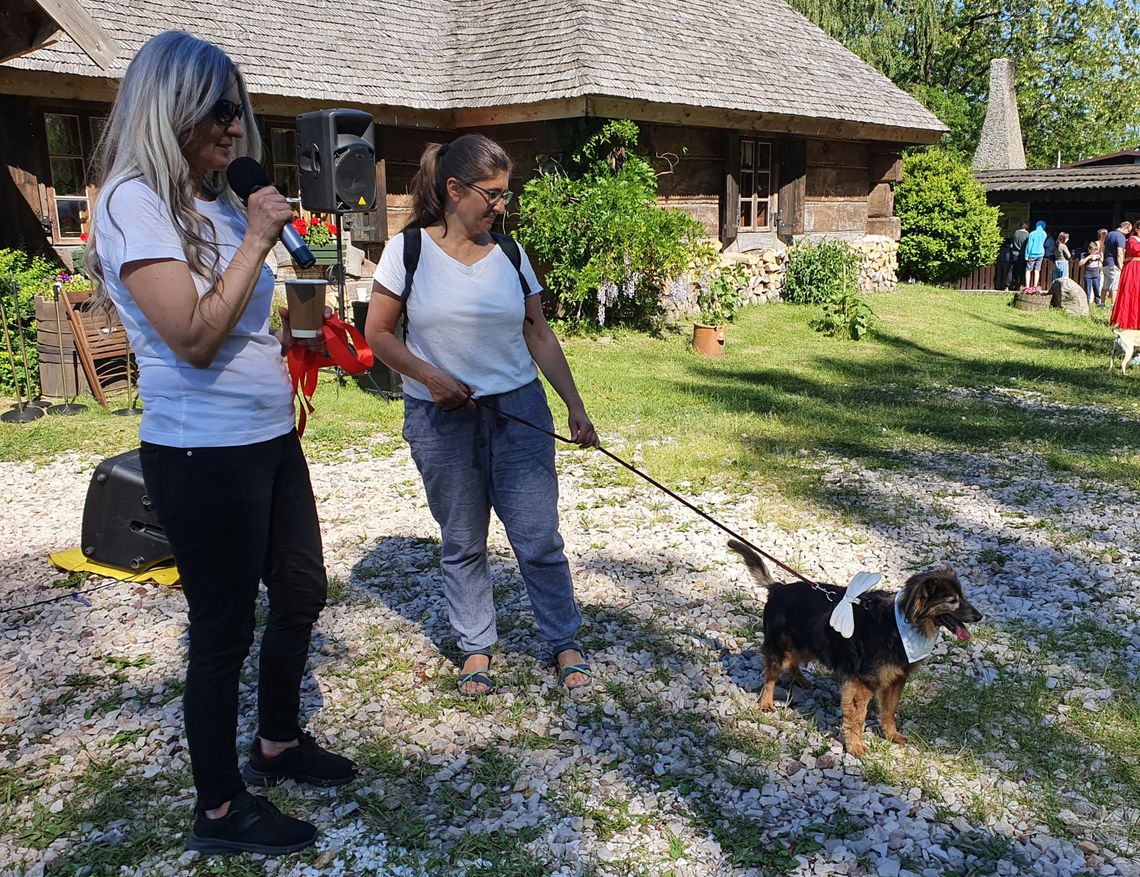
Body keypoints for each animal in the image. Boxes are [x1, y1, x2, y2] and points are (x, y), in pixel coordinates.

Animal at [729, 538, 980, 757]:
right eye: (952, 601)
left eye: (963, 597)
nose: (979, 616)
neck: (902, 623)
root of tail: (778, 588)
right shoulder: (863, 682)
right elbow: (858, 716)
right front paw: (855, 746)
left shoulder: (896, 679)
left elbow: (889, 711)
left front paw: (890, 735)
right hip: (782, 648)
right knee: (771, 675)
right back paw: (767, 702)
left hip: (806, 643)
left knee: (794, 663)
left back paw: (800, 680)